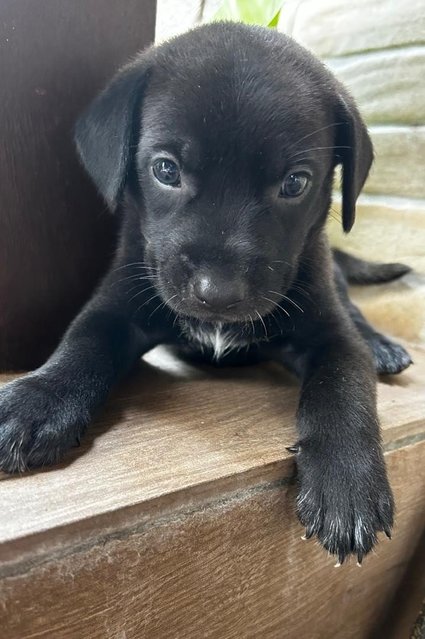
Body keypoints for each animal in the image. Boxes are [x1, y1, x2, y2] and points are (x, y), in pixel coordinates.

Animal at [0, 25, 410, 564]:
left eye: (295, 183)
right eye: (165, 170)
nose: (218, 294)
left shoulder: (330, 334)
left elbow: (344, 387)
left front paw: (348, 482)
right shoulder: (117, 304)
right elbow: (81, 346)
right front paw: (36, 401)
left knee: (356, 316)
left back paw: (382, 346)